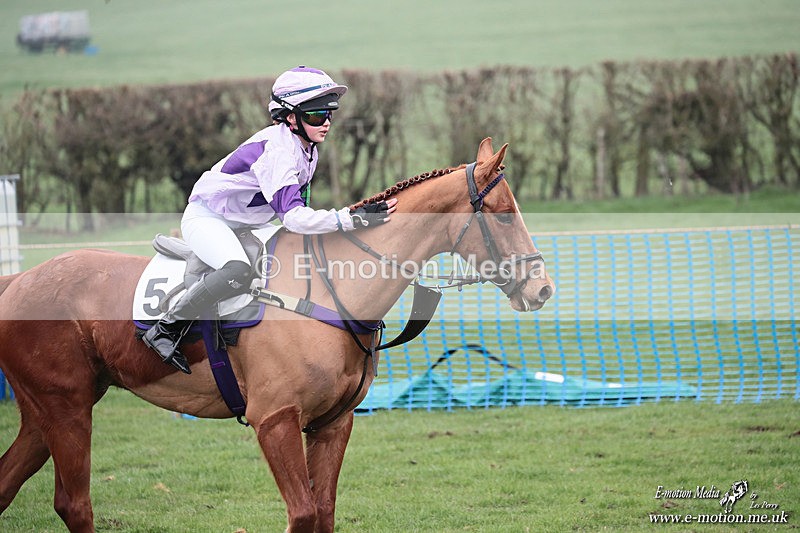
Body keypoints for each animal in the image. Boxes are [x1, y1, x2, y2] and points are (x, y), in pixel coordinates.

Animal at [0, 138, 554, 532]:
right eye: (505, 213)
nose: (542, 287)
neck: (333, 291)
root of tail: (18, 281)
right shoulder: (275, 421)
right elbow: (303, 513)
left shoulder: (332, 424)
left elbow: (323, 512)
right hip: (67, 407)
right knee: (74, 505)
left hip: (47, 411)